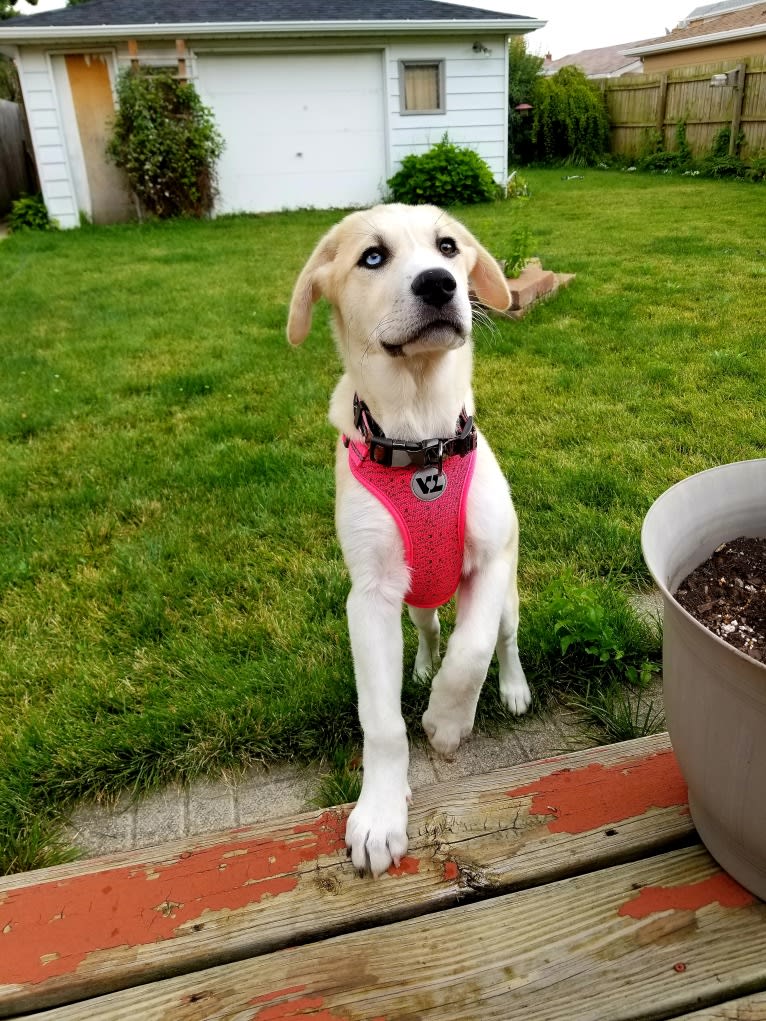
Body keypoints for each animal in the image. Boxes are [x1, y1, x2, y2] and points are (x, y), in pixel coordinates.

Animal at [285, 203, 531, 873]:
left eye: (448, 247)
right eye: (372, 256)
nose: (439, 284)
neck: (423, 441)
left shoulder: (491, 560)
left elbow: (472, 651)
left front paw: (446, 723)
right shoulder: (369, 597)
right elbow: (382, 721)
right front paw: (379, 815)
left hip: (509, 596)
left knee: (502, 639)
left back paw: (513, 687)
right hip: (416, 601)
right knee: (431, 628)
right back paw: (420, 667)